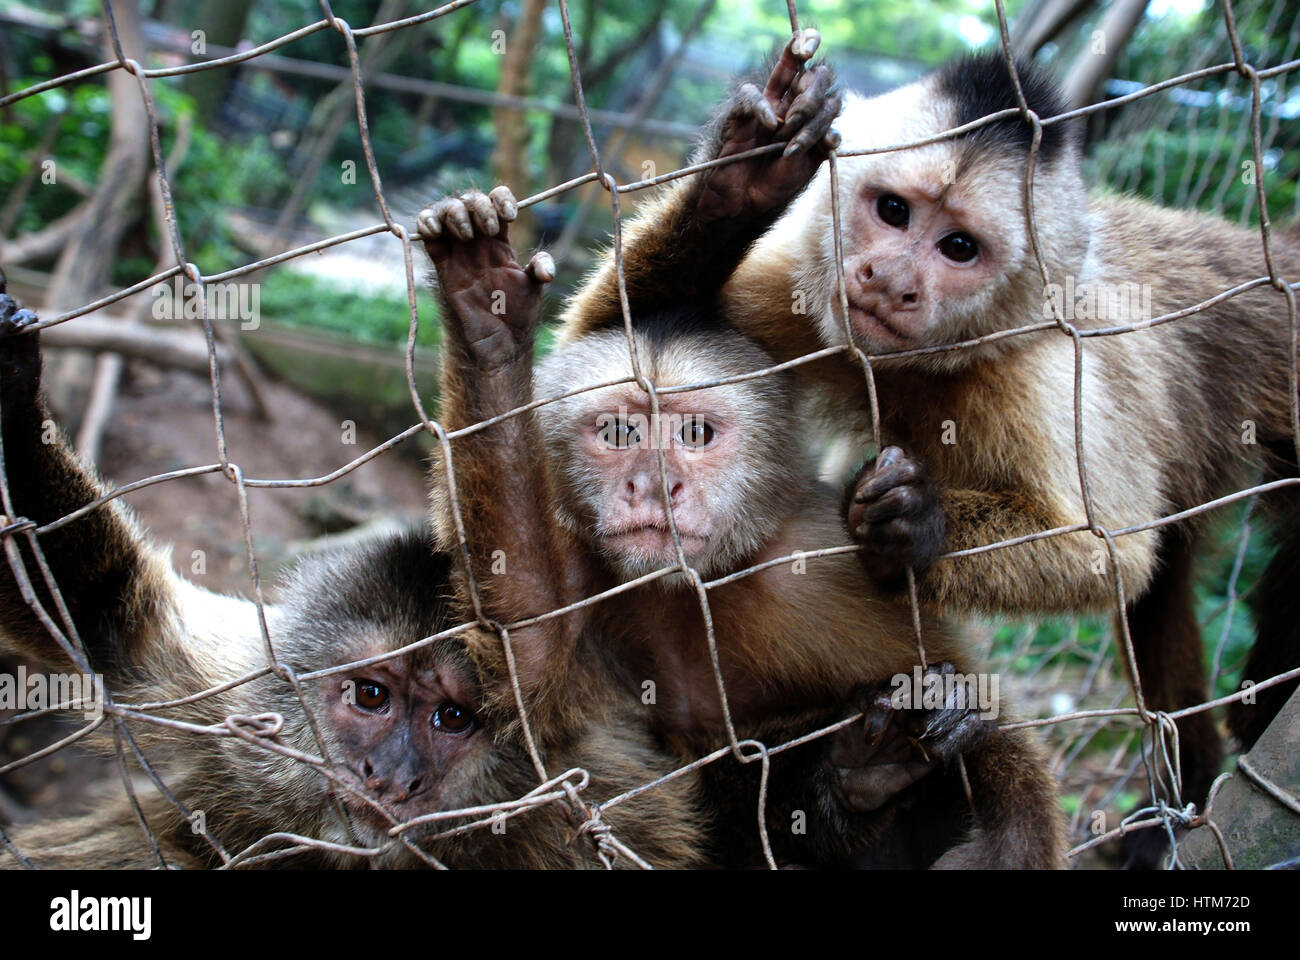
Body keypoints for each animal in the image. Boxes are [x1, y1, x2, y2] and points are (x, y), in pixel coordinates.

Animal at [0, 270, 707, 868]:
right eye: (370, 696)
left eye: (452, 718)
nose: (388, 777)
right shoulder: (238, 696)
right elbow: (110, 621)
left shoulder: (594, 787)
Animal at [418, 33, 1066, 868]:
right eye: (620, 434)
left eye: (695, 435)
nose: (652, 488)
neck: (705, 583)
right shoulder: (591, 562)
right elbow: (529, 658)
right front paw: (488, 325)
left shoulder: (818, 567)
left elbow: (994, 739)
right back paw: (860, 776)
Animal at [564, 46, 1300, 868]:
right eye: (893, 211)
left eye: (959, 248)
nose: (891, 280)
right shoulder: (796, 290)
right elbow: (605, 335)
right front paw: (742, 176)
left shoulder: (1040, 374)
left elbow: (1107, 552)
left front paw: (916, 527)